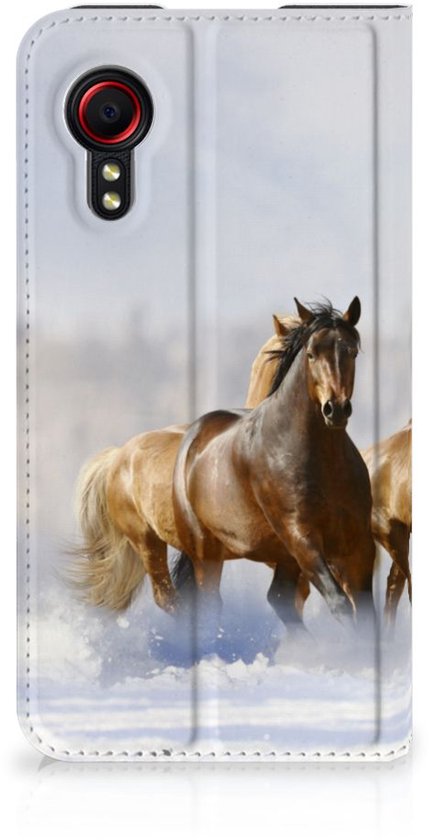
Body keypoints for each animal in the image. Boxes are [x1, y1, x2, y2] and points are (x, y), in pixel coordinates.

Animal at [171, 297, 375, 627]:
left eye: (351, 351)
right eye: (311, 354)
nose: (335, 409)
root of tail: (194, 435)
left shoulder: (358, 543)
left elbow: (366, 612)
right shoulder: (302, 538)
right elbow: (340, 603)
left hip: (282, 556)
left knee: (279, 598)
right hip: (207, 552)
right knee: (211, 603)